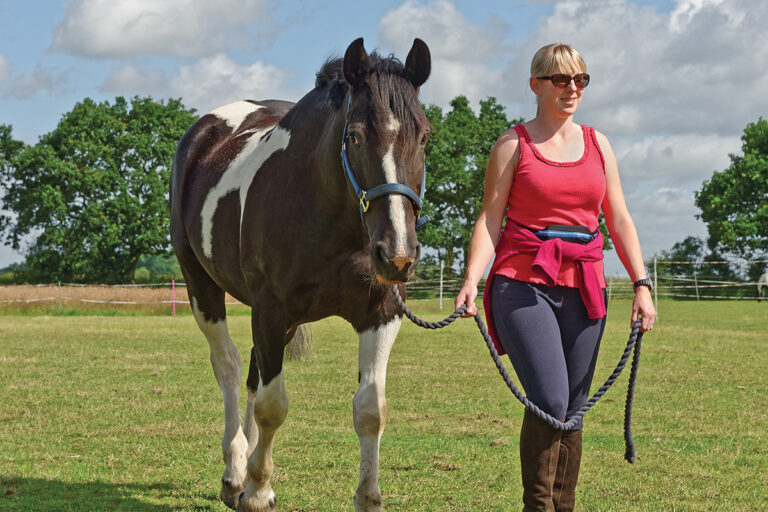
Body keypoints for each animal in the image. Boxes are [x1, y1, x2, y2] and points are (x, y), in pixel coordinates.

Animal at [170, 38, 431, 512]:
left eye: (423, 136)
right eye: (355, 136)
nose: (397, 255)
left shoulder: (380, 314)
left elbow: (370, 409)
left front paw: (368, 496)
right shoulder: (271, 311)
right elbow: (272, 406)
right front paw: (256, 490)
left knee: (252, 375)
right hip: (201, 286)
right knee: (230, 368)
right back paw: (235, 473)